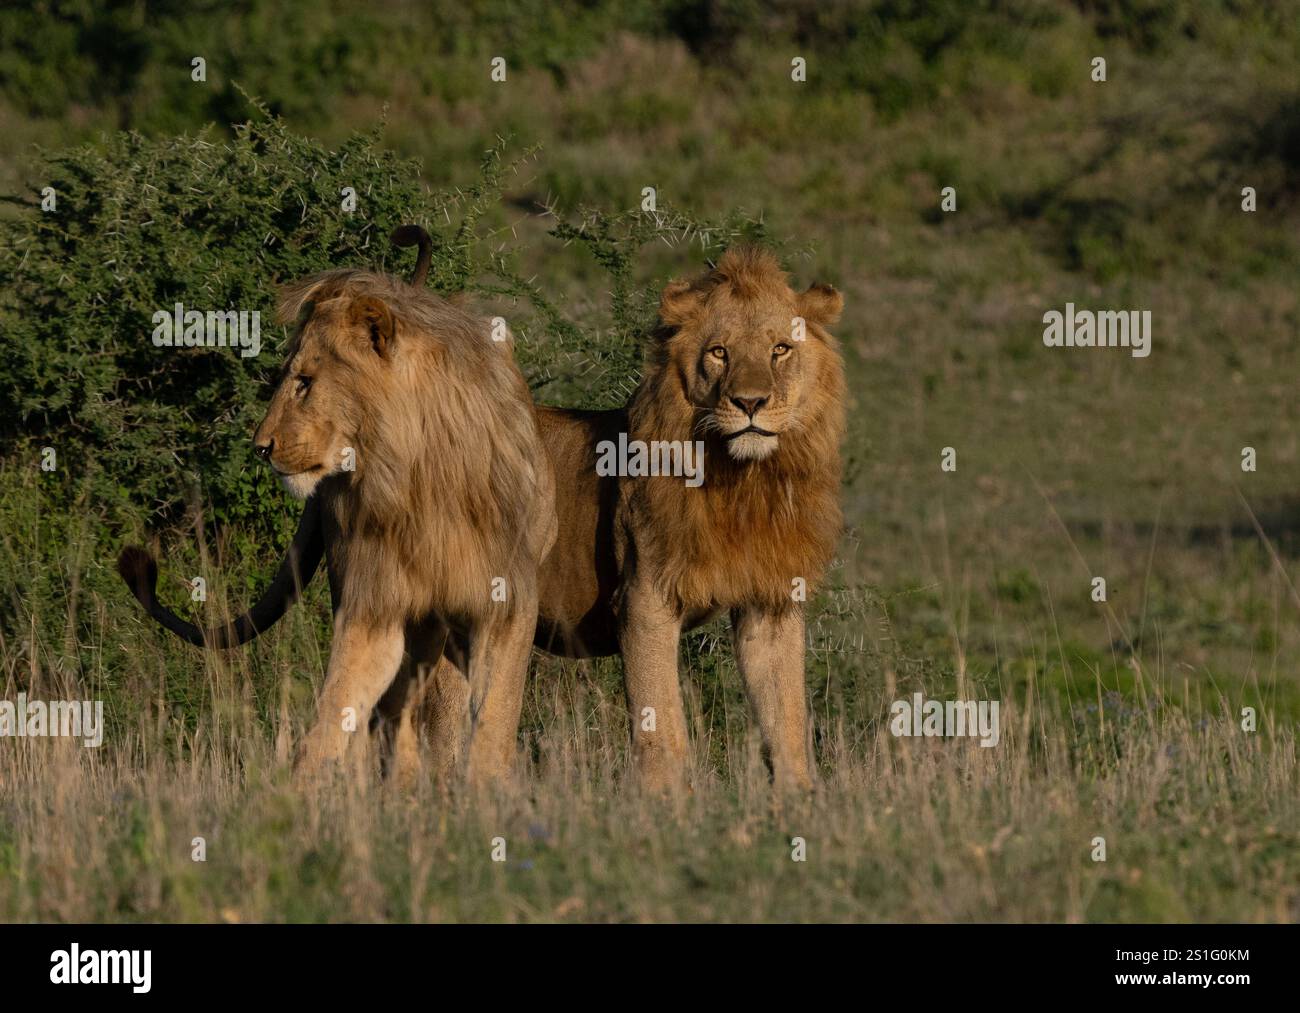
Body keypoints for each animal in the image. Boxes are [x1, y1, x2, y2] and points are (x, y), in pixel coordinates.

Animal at [118, 226, 557, 787]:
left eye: (305, 382)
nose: (260, 447)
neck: (415, 474)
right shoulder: (373, 602)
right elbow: (340, 703)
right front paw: (300, 791)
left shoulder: (509, 603)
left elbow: (495, 719)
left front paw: (485, 791)